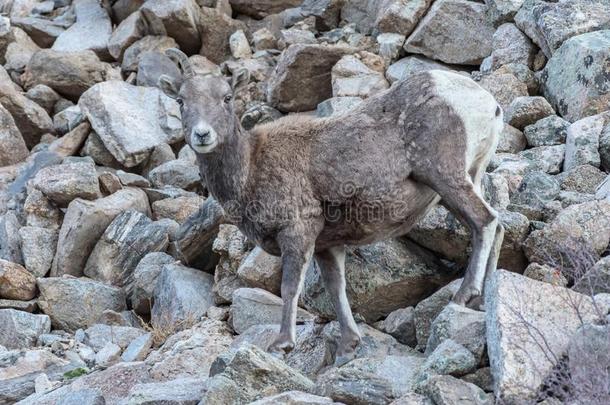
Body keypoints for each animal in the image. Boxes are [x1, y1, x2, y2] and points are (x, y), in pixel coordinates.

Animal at [159, 48, 502, 362]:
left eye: (227, 97)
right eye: (181, 101)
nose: (202, 134)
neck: (250, 167)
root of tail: (488, 104)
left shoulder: (297, 232)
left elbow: (289, 288)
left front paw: (282, 345)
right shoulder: (327, 247)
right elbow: (336, 289)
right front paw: (349, 345)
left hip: (445, 176)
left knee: (485, 221)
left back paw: (464, 296)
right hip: (468, 179)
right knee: (495, 227)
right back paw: (484, 300)